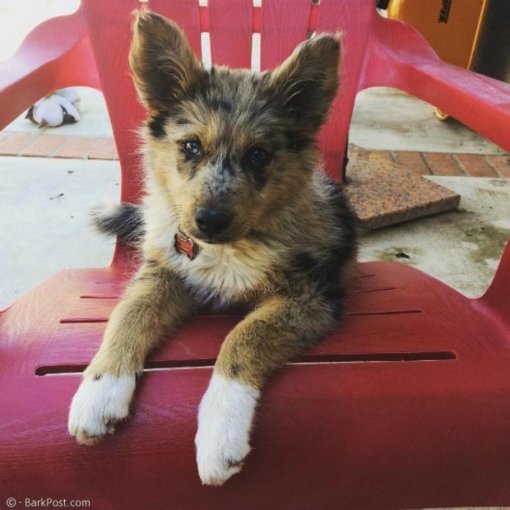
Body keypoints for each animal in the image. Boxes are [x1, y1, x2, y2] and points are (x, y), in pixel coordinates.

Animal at [68, 10, 357, 486]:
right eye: (190, 146)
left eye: (258, 155)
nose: (209, 221)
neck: (231, 247)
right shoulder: (165, 270)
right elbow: (127, 315)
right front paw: (100, 391)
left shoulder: (311, 297)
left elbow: (243, 338)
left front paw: (220, 433)